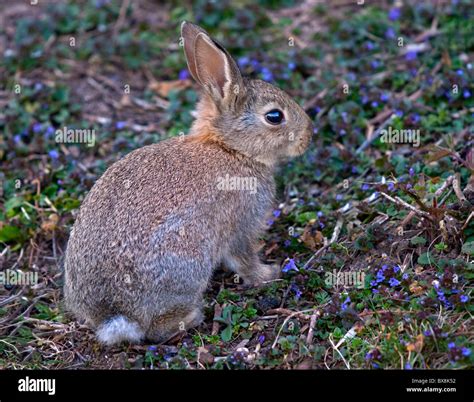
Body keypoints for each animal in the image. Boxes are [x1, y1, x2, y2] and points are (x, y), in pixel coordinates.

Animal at [64, 21, 314, 346]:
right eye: (274, 116)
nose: (309, 135)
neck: (229, 148)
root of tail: (114, 315)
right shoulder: (241, 227)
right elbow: (244, 259)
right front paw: (268, 273)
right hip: (187, 257)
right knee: (156, 328)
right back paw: (193, 316)